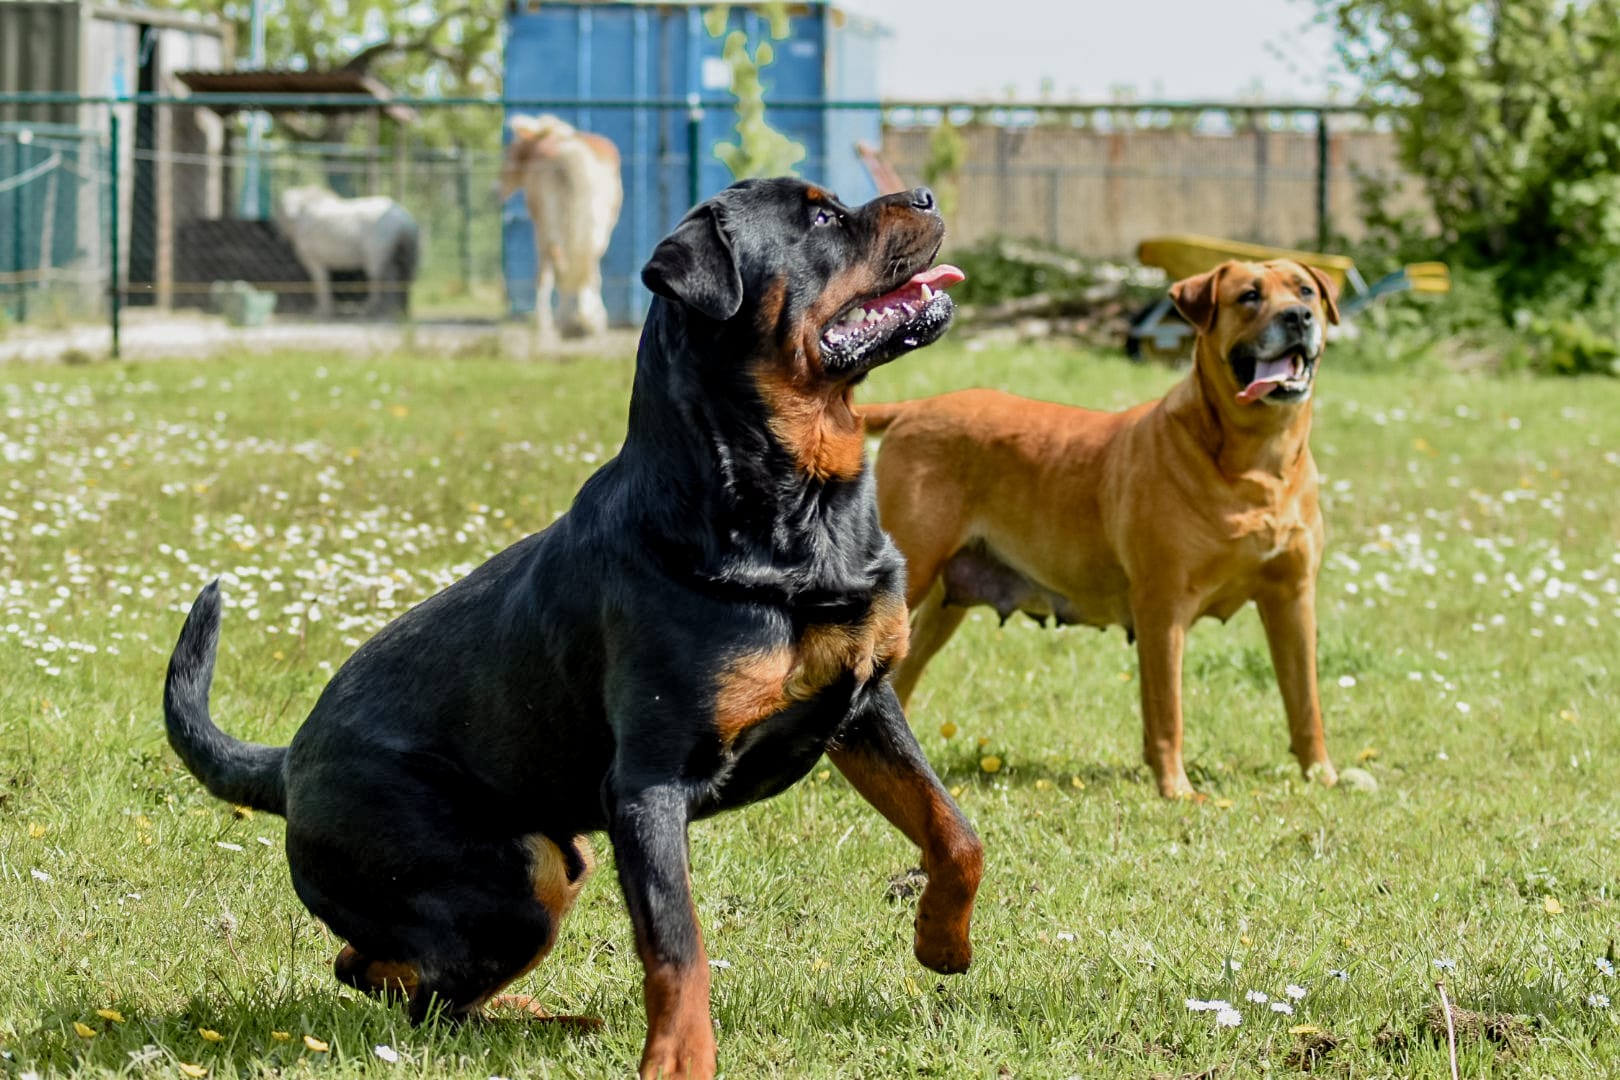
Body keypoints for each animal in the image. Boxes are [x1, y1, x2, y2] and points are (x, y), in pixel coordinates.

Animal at [275, 186, 421, 317]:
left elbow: (319, 277)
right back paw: (402, 310)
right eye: (282, 206)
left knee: (378, 274)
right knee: (406, 272)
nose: (291, 215)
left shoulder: (310, 250)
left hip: (380, 240)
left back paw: (373, 310)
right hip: (409, 242)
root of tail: (404, 221)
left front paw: (321, 312)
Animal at [498, 114, 618, 338]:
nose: (496, 189)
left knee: (558, 262)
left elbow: (545, 273)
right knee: (586, 262)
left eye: (509, 153)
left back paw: (563, 320)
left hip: (548, 227)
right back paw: (584, 319)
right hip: (597, 224)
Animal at [868, 259, 1347, 803]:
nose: (1298, 317)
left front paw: (1322, 774)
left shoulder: (1293, 600)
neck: (1258, 465)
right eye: (1249, 296)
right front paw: (1175, 789)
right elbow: (1167, 710)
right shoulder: (1163, 607)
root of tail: (912, 409)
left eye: (1305, 291)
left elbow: (1305, 700)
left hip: (943, 602)